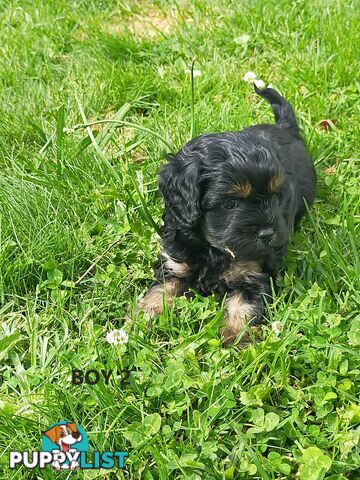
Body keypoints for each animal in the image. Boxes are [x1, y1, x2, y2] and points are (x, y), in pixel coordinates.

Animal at [139, 84, 316, 344]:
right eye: (231, 203)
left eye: (277, 197)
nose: (268, 234)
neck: (213, 249)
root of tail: (286, 128)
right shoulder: (175, 260)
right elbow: (160, 289)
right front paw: (142, 317)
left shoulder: (254, 272)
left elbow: (243, 305)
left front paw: (236, 337)